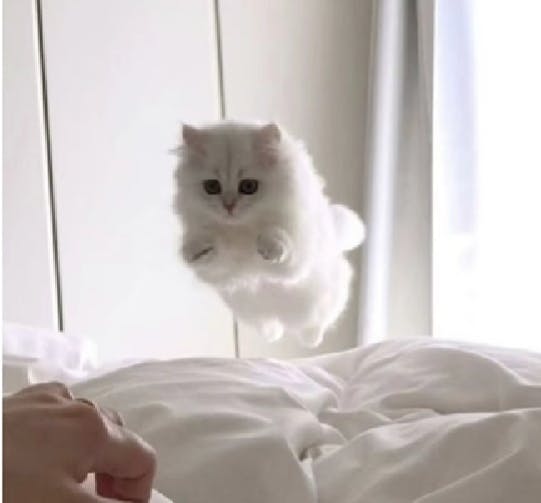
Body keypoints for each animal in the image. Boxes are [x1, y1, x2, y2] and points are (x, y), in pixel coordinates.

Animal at [173, 121, 365, 347]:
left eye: (248, 186)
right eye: (212, 187)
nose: (229, 206)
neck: (243, 229)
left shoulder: (295, 262)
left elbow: (278, 236)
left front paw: (270, 247)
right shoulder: (220, 274)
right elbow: (210, 243)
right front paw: (196, 250)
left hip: (325, 299)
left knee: (317, 324)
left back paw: (311, 340)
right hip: (250, 312)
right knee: (269, 324)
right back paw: (272, 335)